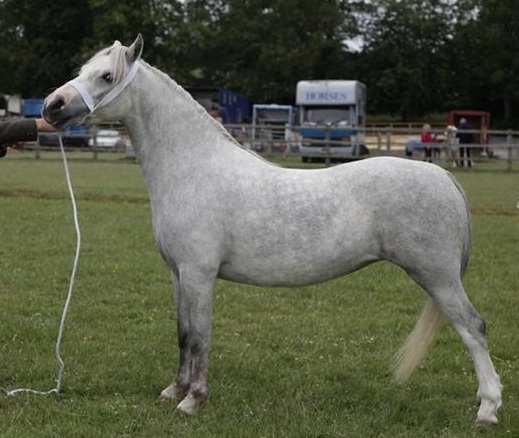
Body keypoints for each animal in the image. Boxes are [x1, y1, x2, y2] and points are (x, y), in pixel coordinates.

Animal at [42, 36, 502, 426]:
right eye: (84, 69)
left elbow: (201, 337)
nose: (51, 106)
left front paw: (194, 400)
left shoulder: (199, 275)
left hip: (438, 277)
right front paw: (173, 391)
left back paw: (488, 408)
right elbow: (183, 335)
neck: (194, 167)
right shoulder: (178, 275)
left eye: (106, 76)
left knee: (474, 327)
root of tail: (444, 176)